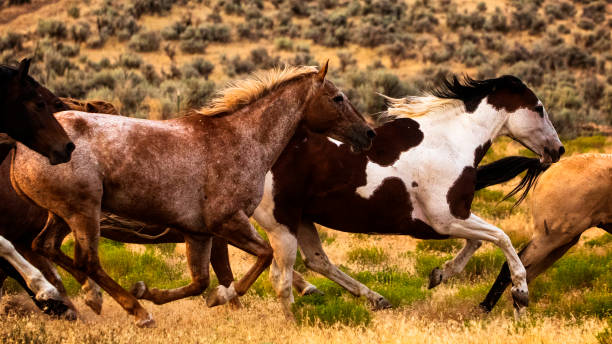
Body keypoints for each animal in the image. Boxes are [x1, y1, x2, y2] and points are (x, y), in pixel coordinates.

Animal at [8, 63, 372, 326]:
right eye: (338, 98)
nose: (368, 133)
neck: (241, 140)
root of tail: (18, 149)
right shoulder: (227, 222)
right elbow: (264, 256)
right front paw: (223, 297)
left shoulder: (198, 232)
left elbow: (200, 281)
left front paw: (153, 291)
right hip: (84, 211)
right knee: (86, 260)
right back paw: (135, 312)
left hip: (61, 214)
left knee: (46, 247)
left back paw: (86, 297)